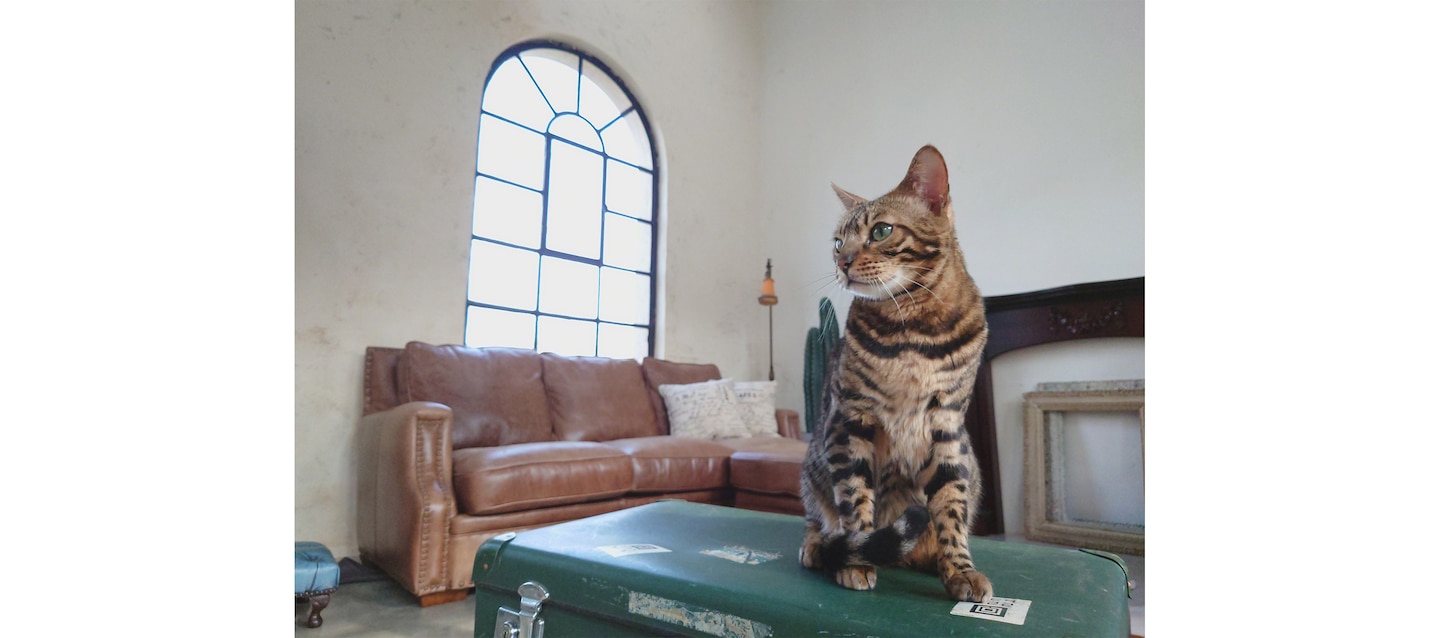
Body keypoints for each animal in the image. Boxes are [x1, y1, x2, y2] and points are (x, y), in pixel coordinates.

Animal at [800, 144, 990, 604]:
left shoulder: (947, 425)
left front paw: (959, 567)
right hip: (813, 468)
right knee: (818, 517)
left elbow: (951, 507)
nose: (842, 261)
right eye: (838, 241)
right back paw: (820, 547)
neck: (915, 332)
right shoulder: (849, 420)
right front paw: (857, 560)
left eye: (882, 231)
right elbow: (855, 501)